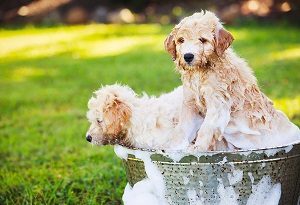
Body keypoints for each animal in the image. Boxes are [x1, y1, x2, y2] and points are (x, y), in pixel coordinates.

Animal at [164, 10, 300, 151]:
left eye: (202, 40)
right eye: (181, 40)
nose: (188, 56)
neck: (201, 72)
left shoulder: (217, 105)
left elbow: (205, 130)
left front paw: (198, 149)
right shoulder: (190, 104)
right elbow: (181, 130)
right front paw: (172, 147)